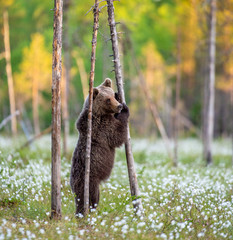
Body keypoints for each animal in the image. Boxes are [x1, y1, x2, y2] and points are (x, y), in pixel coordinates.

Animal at [69, 78, 129, 215]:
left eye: (112, 95)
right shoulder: (101, 128)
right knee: (92, 198)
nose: (119, 106)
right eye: (107, 99)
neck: (99, 113)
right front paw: (125, 111)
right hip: (89, 180)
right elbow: (117, 135)